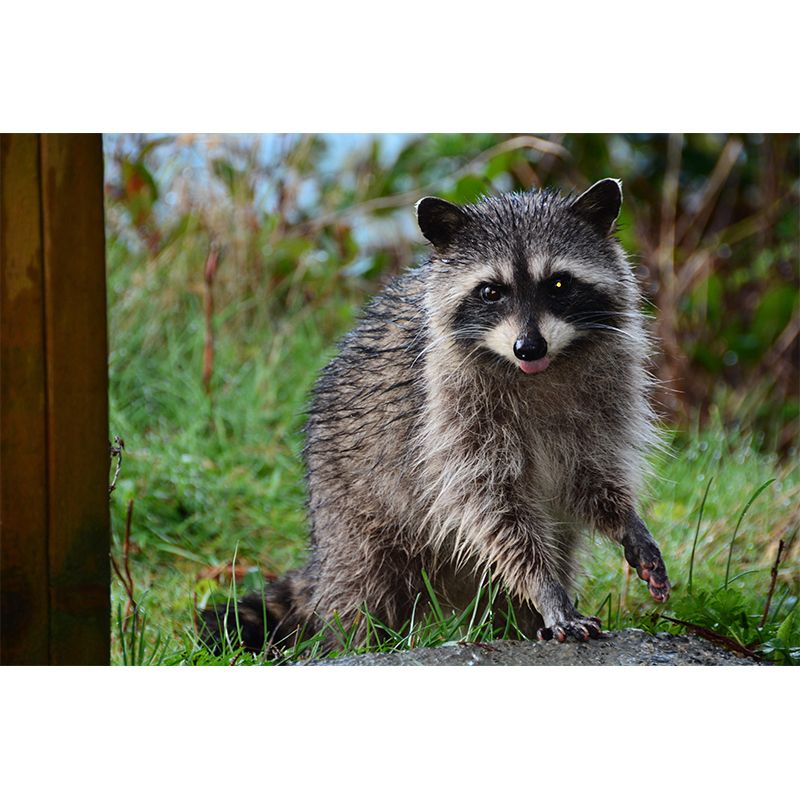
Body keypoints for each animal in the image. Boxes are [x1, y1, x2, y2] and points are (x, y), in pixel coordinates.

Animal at [200, 178, 671, 652]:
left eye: (558, 283)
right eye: (491, 291)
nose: (528, 347)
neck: (539, 371)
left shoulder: (605, 396)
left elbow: (592, 475)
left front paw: (626, 521)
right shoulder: (450, 415)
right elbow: (493, 509)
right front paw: (546, 590)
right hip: (352, 512)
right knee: (361, 589)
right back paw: (354, 640)